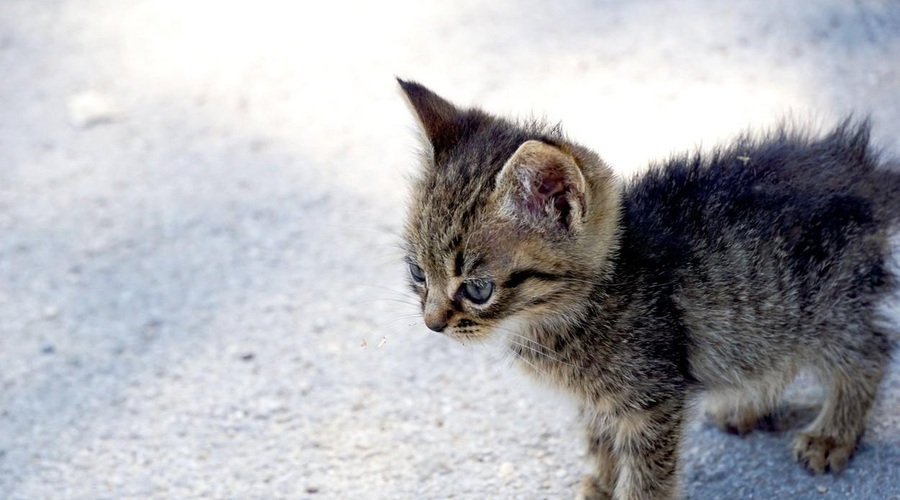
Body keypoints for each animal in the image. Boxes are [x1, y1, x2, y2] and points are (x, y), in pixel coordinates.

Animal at [400, 80, 900, 498]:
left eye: (478, 289)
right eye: (417, 272)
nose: (431, 324)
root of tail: (866, 173)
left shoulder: (651, 401)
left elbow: (645, 477)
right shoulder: (600, 401)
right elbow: (599, 440)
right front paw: (601, 485)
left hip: (824, 305)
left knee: (871, 351)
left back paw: (832, 433)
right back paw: (747, 404)